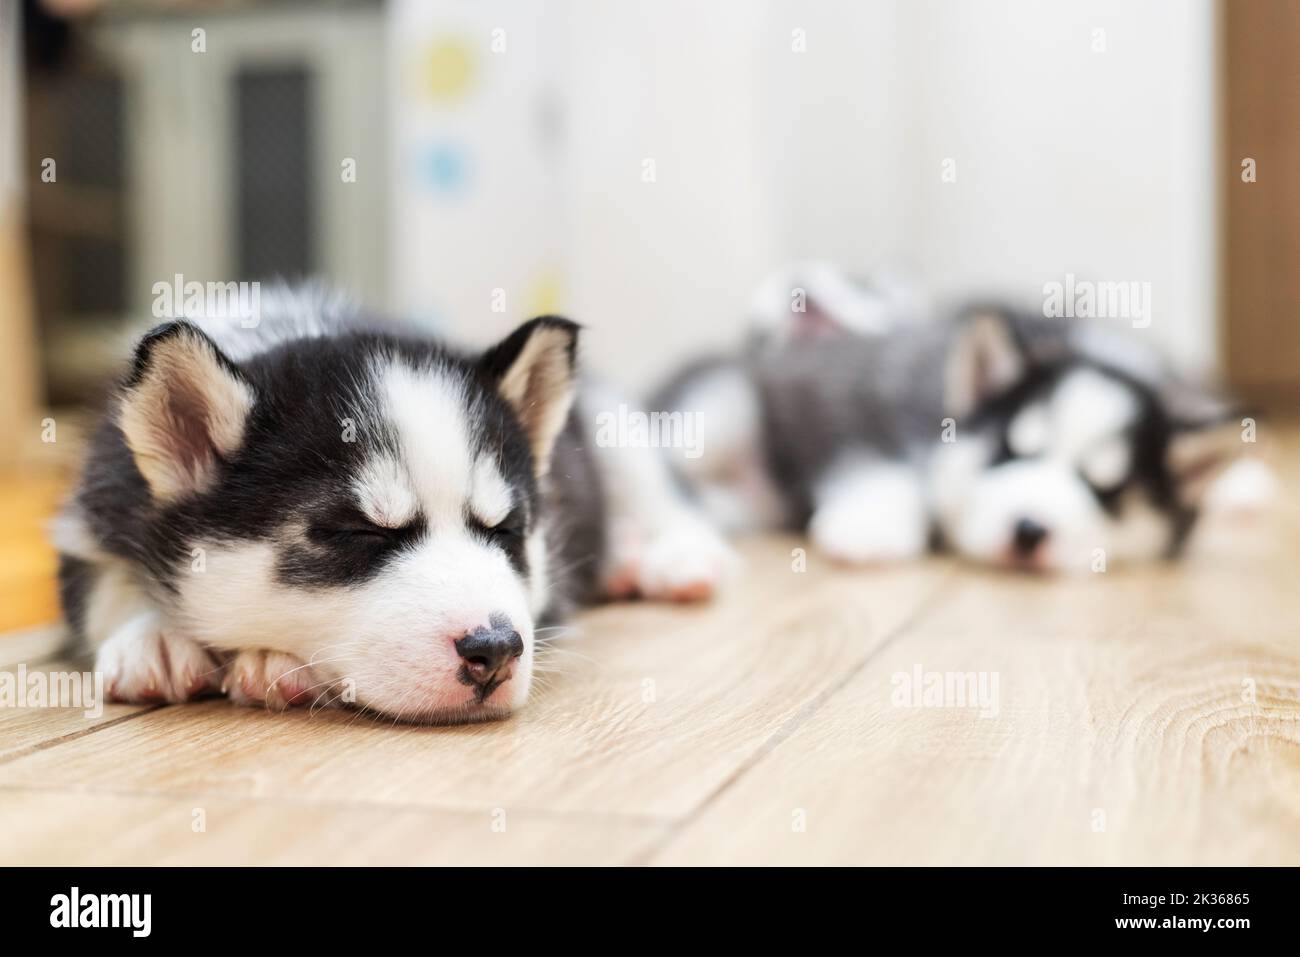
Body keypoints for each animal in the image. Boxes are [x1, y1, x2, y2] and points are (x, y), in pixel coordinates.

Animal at [55, 287, 733, 722]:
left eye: (506, 529)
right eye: (360, 532)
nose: (495, 651)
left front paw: (268, 660)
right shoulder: (92, 505)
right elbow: (103, 582)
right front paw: (153, 638)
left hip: (612, 419)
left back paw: (670, 558)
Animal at [660, 269, 1248, 572]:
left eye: (1111, 492)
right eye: (1009, 451)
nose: (1029, 531)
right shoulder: (872, 411)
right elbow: (884, 470)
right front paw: (872, 528)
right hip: (720, 410)